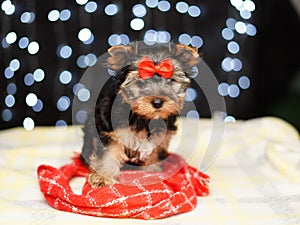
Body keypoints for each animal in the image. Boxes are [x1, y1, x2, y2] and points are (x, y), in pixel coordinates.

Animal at [81, 42, 200, 188]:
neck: (144, 117)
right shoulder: (111, 132)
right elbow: (108, 154)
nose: (157, 102)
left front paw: (152, 171)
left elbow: (155, 152)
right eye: (140, 82)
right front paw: (103, 177)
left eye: (170, 81)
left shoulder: (161, 135)